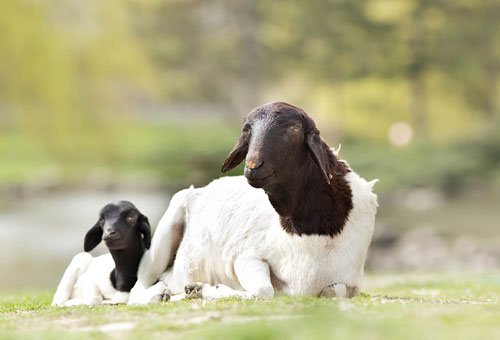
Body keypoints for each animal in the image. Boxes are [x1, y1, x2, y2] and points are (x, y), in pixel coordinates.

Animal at [127, 102, 376, 304]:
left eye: (294, 129)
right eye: (248, 130)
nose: (253, 166)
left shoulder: (350, 283)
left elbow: (335, 290)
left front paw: (197, 290)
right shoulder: (246, 257)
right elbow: (264, 291)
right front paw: (201, 289)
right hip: (159, 244)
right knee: (138, 287)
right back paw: (160, 294)